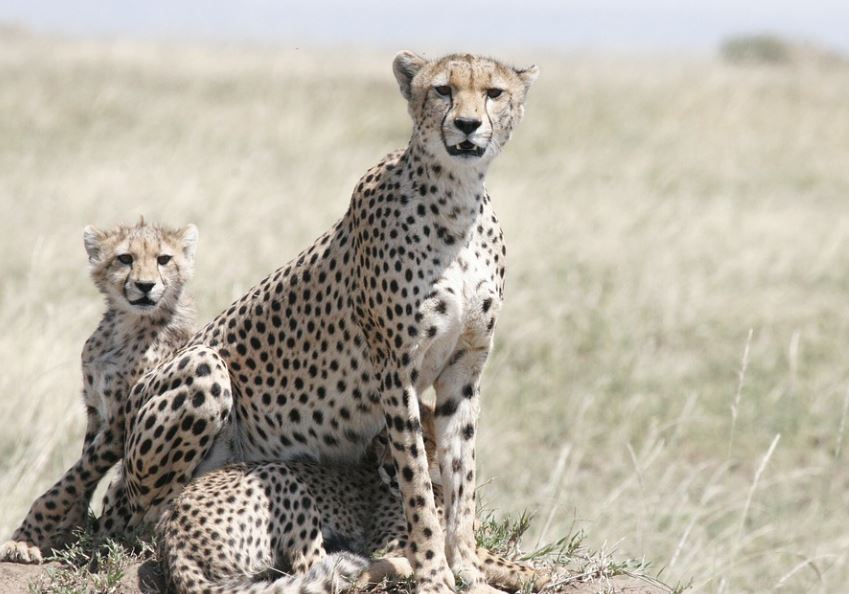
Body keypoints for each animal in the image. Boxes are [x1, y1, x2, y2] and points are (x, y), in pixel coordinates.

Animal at [0, 219, 198, 563]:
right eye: (125, 258)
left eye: (163, 259)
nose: (145, 286)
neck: (127, 326)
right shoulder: (96, 409)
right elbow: (81, 471)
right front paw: (70, 528)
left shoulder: (121, 421)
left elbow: (72, 478)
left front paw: (25, 537)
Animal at [111, 51, 538, 594]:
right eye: (442, 90)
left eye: (493, 93)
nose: (466, 124)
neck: (456, 200)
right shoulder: (394, 369)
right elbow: (418, 482)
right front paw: (433, 573)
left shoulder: (465, 367)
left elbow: (462, 476)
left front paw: (467, 566)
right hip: (203, 372)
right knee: (147, 519)